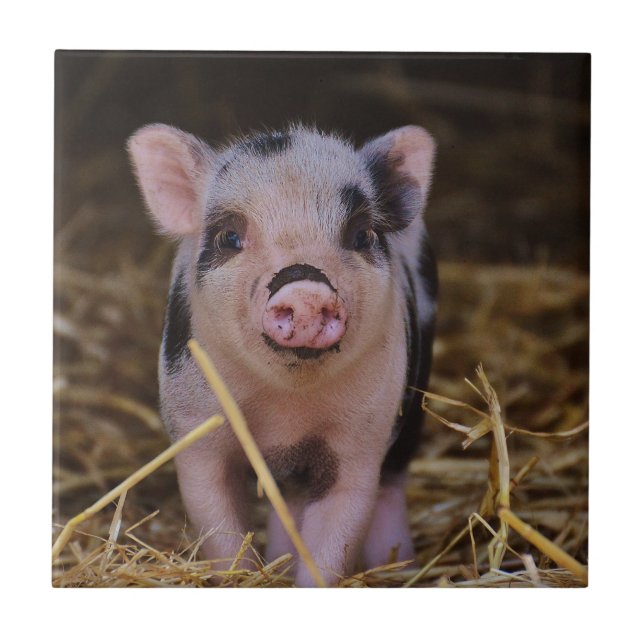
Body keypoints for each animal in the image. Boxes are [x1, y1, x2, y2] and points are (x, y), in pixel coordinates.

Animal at [127, 122, 438, 586]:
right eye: (229, 237)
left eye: (361, 234)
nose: (306, 289)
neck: (286, 411)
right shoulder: (195, 430)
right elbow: (219, 526)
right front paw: (243, 575)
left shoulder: (360, 442)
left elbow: (336, 534)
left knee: (391, 484)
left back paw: (401, 567)